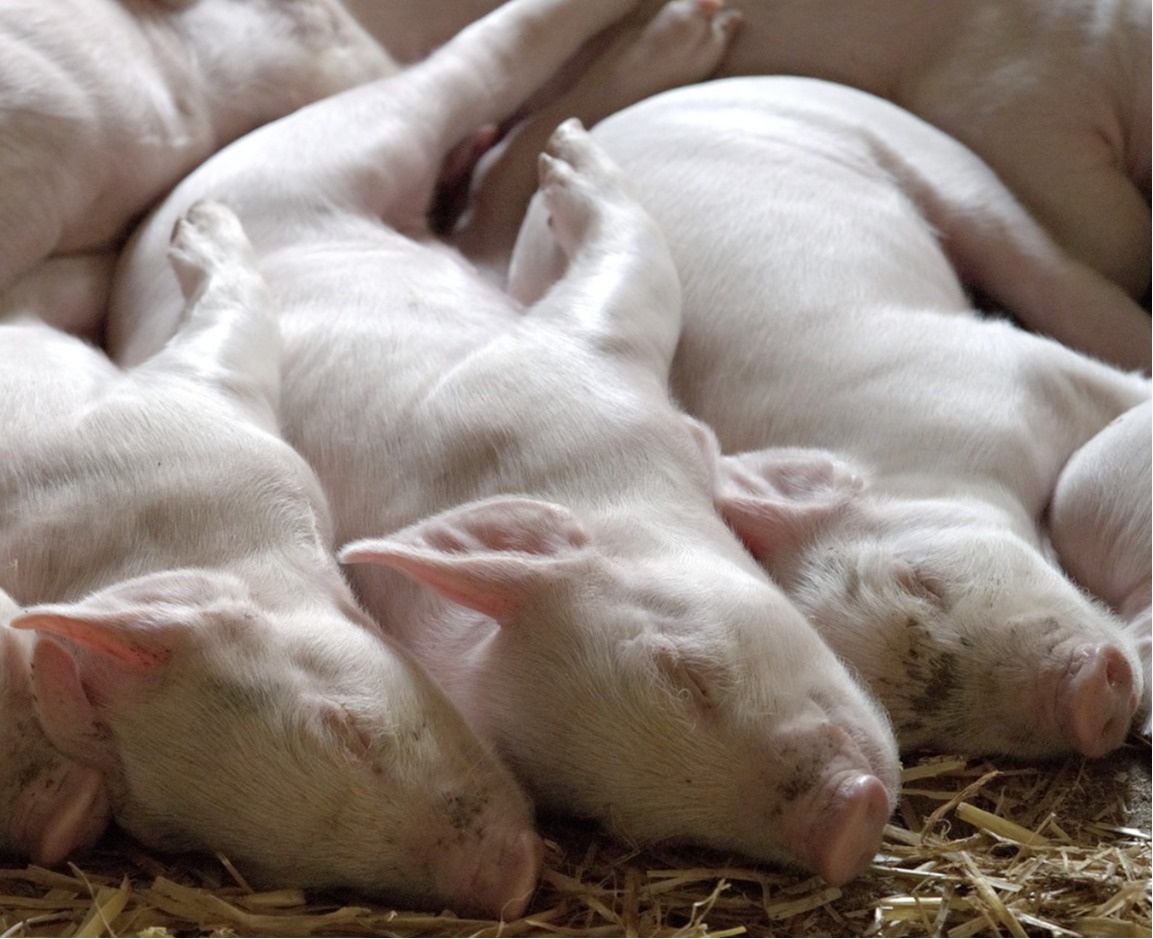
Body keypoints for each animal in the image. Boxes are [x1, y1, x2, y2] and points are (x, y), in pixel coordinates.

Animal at [0, 201, 542, 918]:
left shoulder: (193, 412)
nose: (514, 884)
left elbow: (235, 322)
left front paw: (200, 219)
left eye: (349, 728)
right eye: (245, 856)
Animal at [107, 0, 901, 886]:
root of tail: (157, 226)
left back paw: (636, 83)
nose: (847, 825)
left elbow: (635, 268)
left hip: (339, 153)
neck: (583, 478)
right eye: (621, 818)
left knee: (462, 94)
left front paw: (581, 165)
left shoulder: (563, 360)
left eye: (684, 669)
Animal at [510, 76, 1151, 759]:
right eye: (933, 731)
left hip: (938, 163)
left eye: (918, 580)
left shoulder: (1007, 373)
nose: (1087, 700)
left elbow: (1115, 385)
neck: (921, 463)